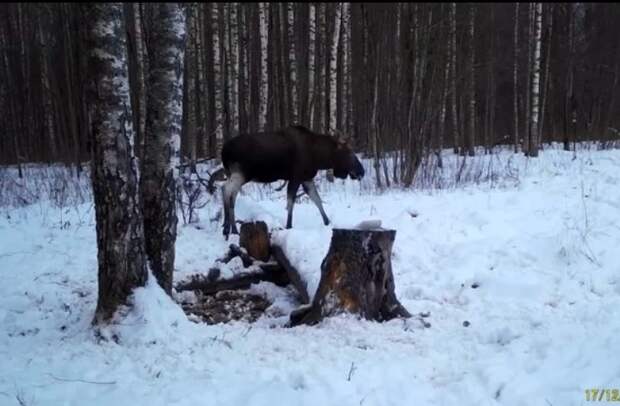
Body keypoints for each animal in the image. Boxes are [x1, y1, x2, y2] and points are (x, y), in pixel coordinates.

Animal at [217, 125, 364, 236]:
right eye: (349, 152)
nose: (361, 171)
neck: (319, 157)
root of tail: (223, 151)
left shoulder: (306, 178)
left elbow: (317, 200)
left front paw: (328, 222)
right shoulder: (296, 177)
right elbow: (291, 202)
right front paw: (288, 226)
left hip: (233, 173)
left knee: (230, 193)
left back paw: (228, 227)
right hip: (242, 174)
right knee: (226, 189)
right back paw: (231, 229)